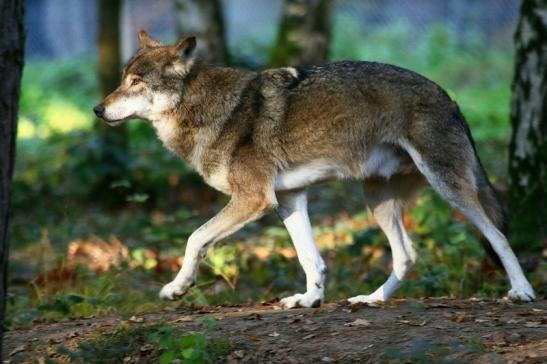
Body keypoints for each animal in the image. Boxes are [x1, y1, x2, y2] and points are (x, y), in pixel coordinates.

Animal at [93, 31, 536, 308]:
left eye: (136, 82)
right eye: (122, 80)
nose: (97, 109)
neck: (208, 108)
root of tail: (450, 97)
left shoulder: (254, 199)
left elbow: (194, 238)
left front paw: (177, 287)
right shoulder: (287, 199)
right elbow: (311, 259)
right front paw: (310, 299)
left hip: (448, 188)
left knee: (498, 236)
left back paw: (522, 291)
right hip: (376, 199)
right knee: (406, 255)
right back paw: (371, 299)